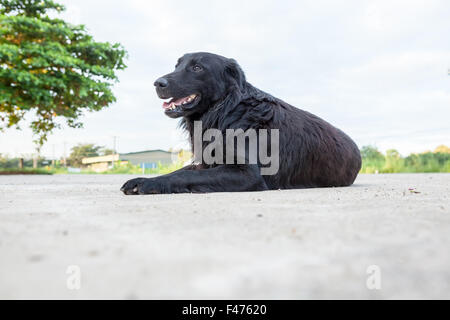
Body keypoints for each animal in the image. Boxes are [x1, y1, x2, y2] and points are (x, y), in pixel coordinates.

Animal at [120, 52, 362, 195]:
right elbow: (179, 172)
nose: (157, 83)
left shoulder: (248, 173)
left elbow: (185, 175)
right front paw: (144, 179)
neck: (225, 110)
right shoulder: (206, 162)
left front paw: (148, 184)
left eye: (197, 68)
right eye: (177, 65)